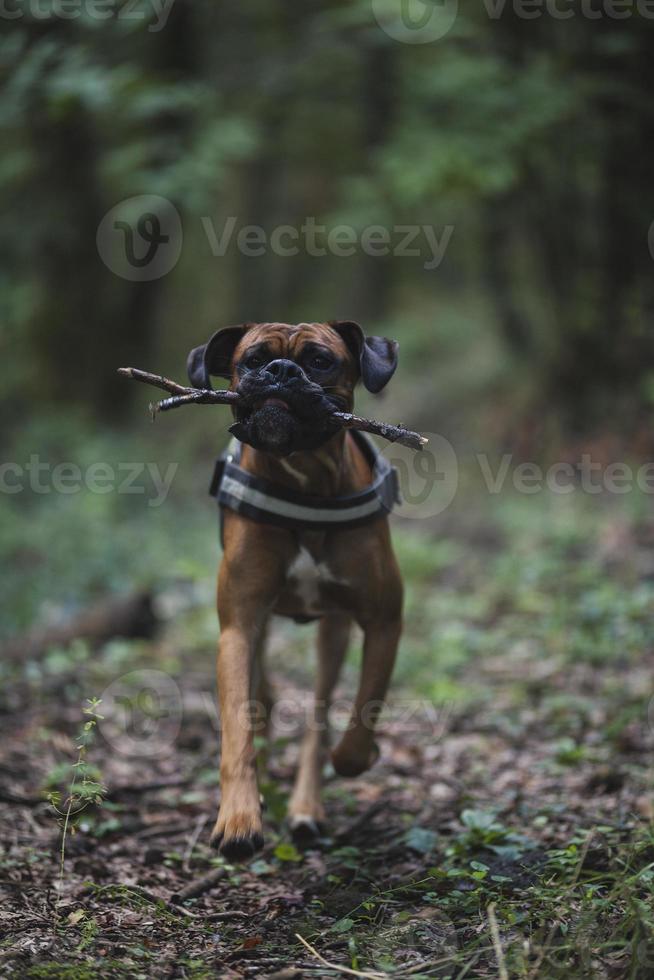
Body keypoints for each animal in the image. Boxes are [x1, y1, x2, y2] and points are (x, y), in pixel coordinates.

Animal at [187, 322, 404, 856]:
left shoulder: (385, 622)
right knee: (262, 698)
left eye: (321, 361)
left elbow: (362, 713)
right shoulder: (238, 626)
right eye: (252, 359)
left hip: (334, 632)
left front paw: (359, 756)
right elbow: (238, 727)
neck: (304, 480)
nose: (280, 370)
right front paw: (239, 816)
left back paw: (307, 807)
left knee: (320, 716)